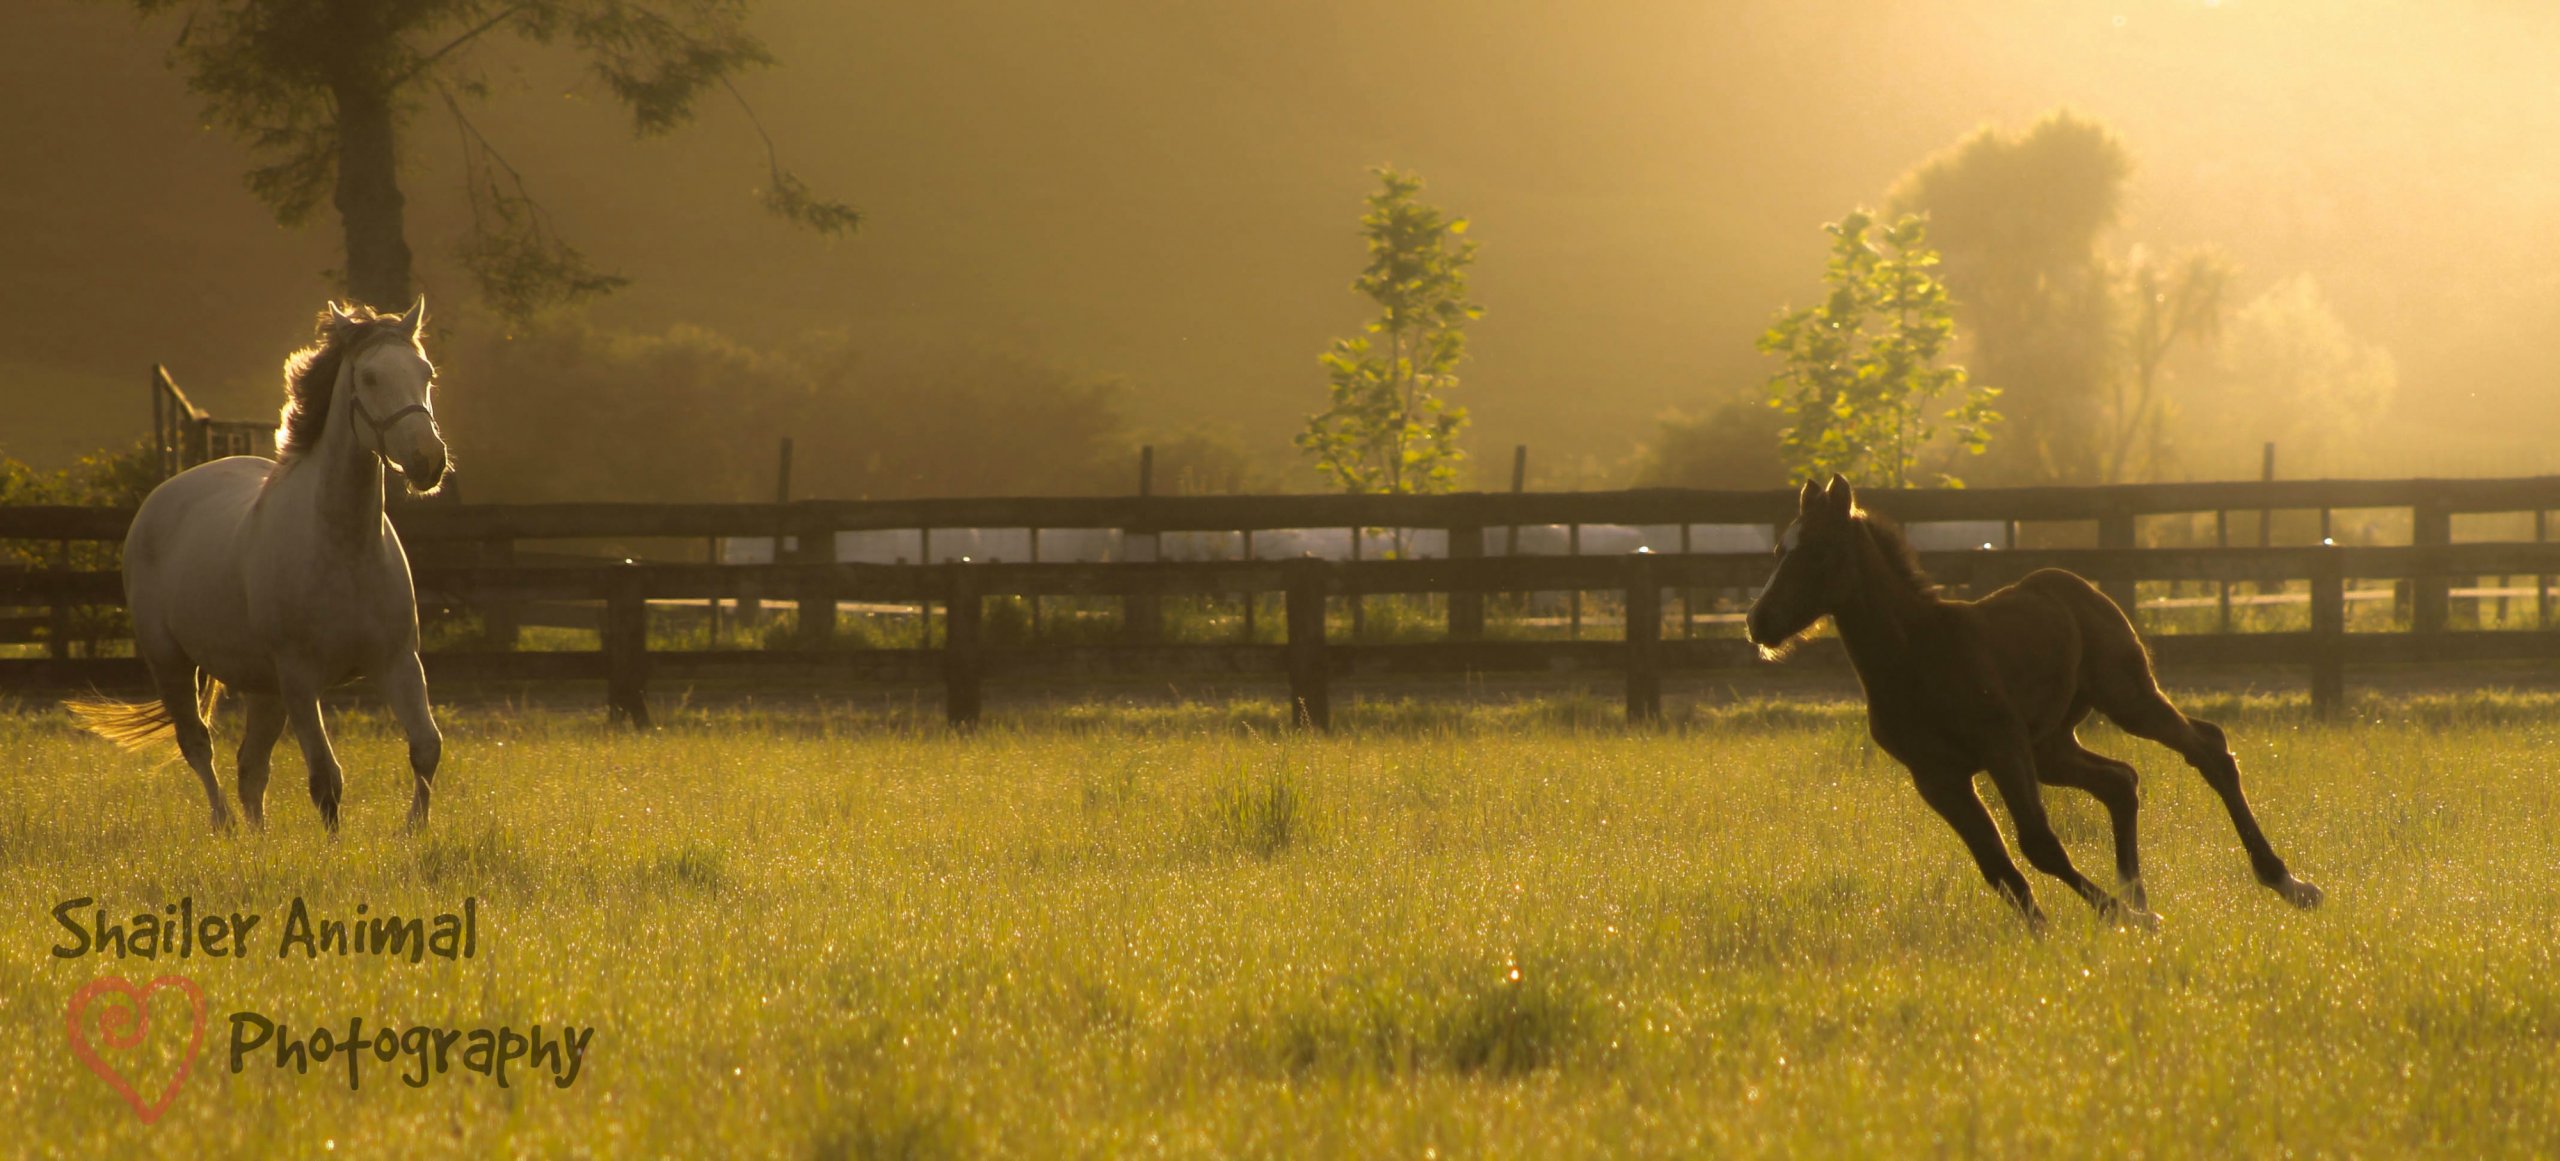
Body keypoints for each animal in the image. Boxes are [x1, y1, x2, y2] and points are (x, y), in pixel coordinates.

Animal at [72, 304, 453, 828]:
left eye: (427, 373)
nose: (427, 460)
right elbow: (326, 780)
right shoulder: (299, 679)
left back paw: (257, 837)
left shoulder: (397, 662)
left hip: (263, 689)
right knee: (198, 747)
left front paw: (413, 831)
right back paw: (226, 826)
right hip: (172, 662)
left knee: (250, 767)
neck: (344, 549)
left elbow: (425, 748)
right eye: (370, 377)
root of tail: (164, 495)